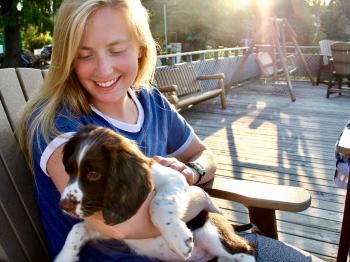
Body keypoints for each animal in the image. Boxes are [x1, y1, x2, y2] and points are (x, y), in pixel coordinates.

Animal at [55, 126, 258, 260]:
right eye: (69, 170)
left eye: (93, 174)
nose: (63, 206)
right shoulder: (111, 228)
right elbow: (76, 229)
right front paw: (64, 257)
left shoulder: (175, 178)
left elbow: (158, 204)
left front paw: (178, 238)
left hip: (212, 231)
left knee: (246, 249)